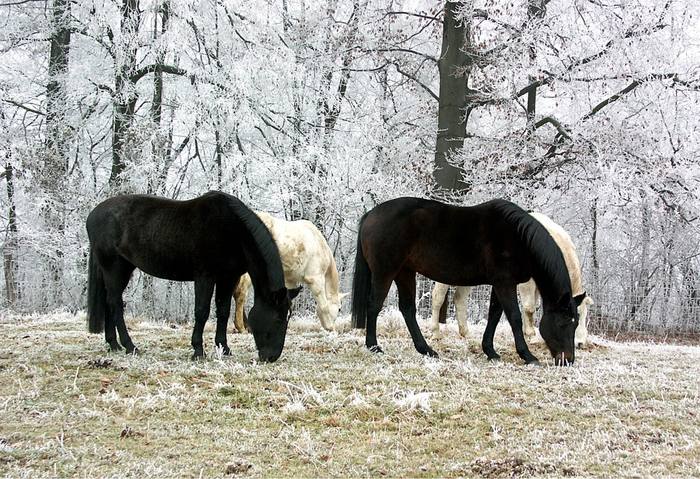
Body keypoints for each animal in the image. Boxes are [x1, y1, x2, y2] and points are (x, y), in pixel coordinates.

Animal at [86, 191, 300, 364]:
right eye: (278, 318)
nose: (271, 357)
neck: (231, 231)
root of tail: (92, 215)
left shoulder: (227, 278)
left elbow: (223, 311)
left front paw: (224, 348)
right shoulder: (205, 277)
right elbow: (202, 311)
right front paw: (198, 351)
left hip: (122, 269)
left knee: (108, 302)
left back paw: (113, 345)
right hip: (114, 268)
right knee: (115, 303)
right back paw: (130, 346)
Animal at [430, 212, 592, 346]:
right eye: (574, 316)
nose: (580, 343)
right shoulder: (527, 281)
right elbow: (529, 306)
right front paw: (531, 334)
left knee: (459, 299)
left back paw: (466, 333)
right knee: (438, 297)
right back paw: (435, 333)